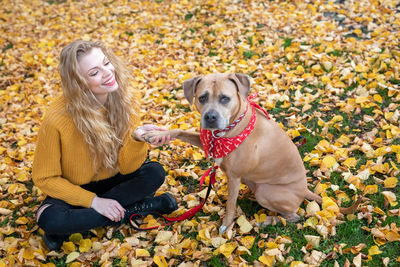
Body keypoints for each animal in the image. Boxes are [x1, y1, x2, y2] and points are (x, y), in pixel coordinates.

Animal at [144, 74, 324, 234]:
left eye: (225, 98)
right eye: (202, 98)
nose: (210, 117)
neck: (227, 130)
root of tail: (305, 190)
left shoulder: (234, 177)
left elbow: (230, 204)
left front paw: (226, 225)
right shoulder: (205, 140)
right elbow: (179, 131)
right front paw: (156, 134)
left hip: (266, 192)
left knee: (294, 217)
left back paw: (265, 221)